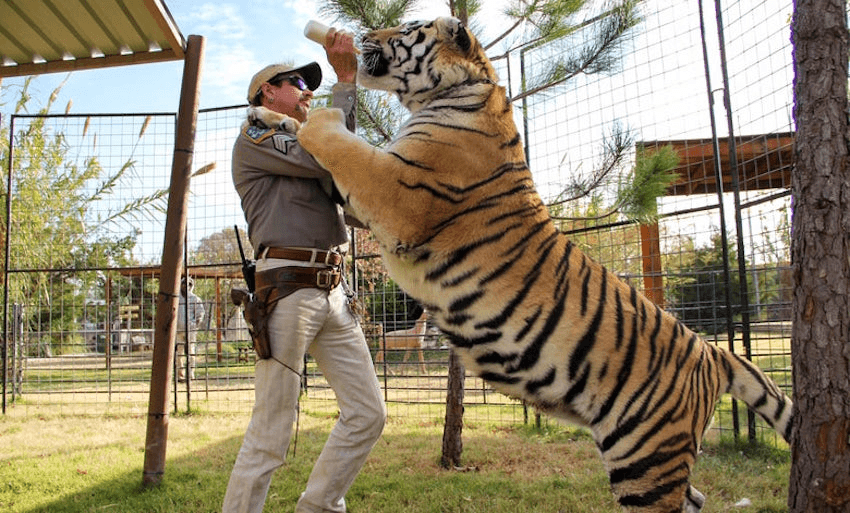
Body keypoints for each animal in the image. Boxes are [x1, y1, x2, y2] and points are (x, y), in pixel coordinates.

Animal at [282, 16, 794, 512]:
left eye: (406, 29)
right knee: (696, 496)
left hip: (645, 456)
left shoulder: (396, 191)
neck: (457, 90)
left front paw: (309, 116)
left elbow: (343, 145)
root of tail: (712, 352)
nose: (364, 35)